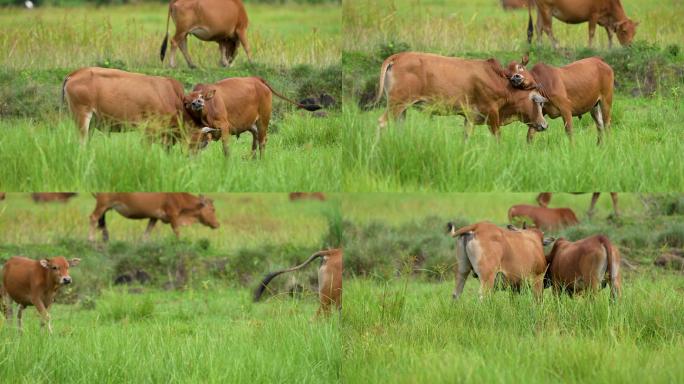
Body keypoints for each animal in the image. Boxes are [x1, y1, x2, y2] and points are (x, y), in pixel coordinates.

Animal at [87, 194, 218, 242]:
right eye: (212, 209)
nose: (218, 224)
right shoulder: (173, 216)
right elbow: (177, 231)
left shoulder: (154, 217)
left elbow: (147, 232)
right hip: (102, 204)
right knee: (93, 217)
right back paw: (91, 238)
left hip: (106, 207)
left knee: (101, 222)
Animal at [182, 77, 320, 158]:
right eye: (187, 101)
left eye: (201, 96)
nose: (198, 102)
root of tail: (256, 79)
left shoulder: (224, 127)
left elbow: (226, 150)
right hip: (251, 124)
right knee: (256, 139)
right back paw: (253, 159)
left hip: (264, 119)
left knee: (263, 141)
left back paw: (261, 161)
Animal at [374, 51, 552, 140]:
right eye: (539, 103)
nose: (544, 125)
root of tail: (397, 57)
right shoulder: (492, 113)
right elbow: (497, 137)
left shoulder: (470, 117)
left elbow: (466, 137)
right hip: (396, 103)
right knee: (382, 122)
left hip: (402, 108)